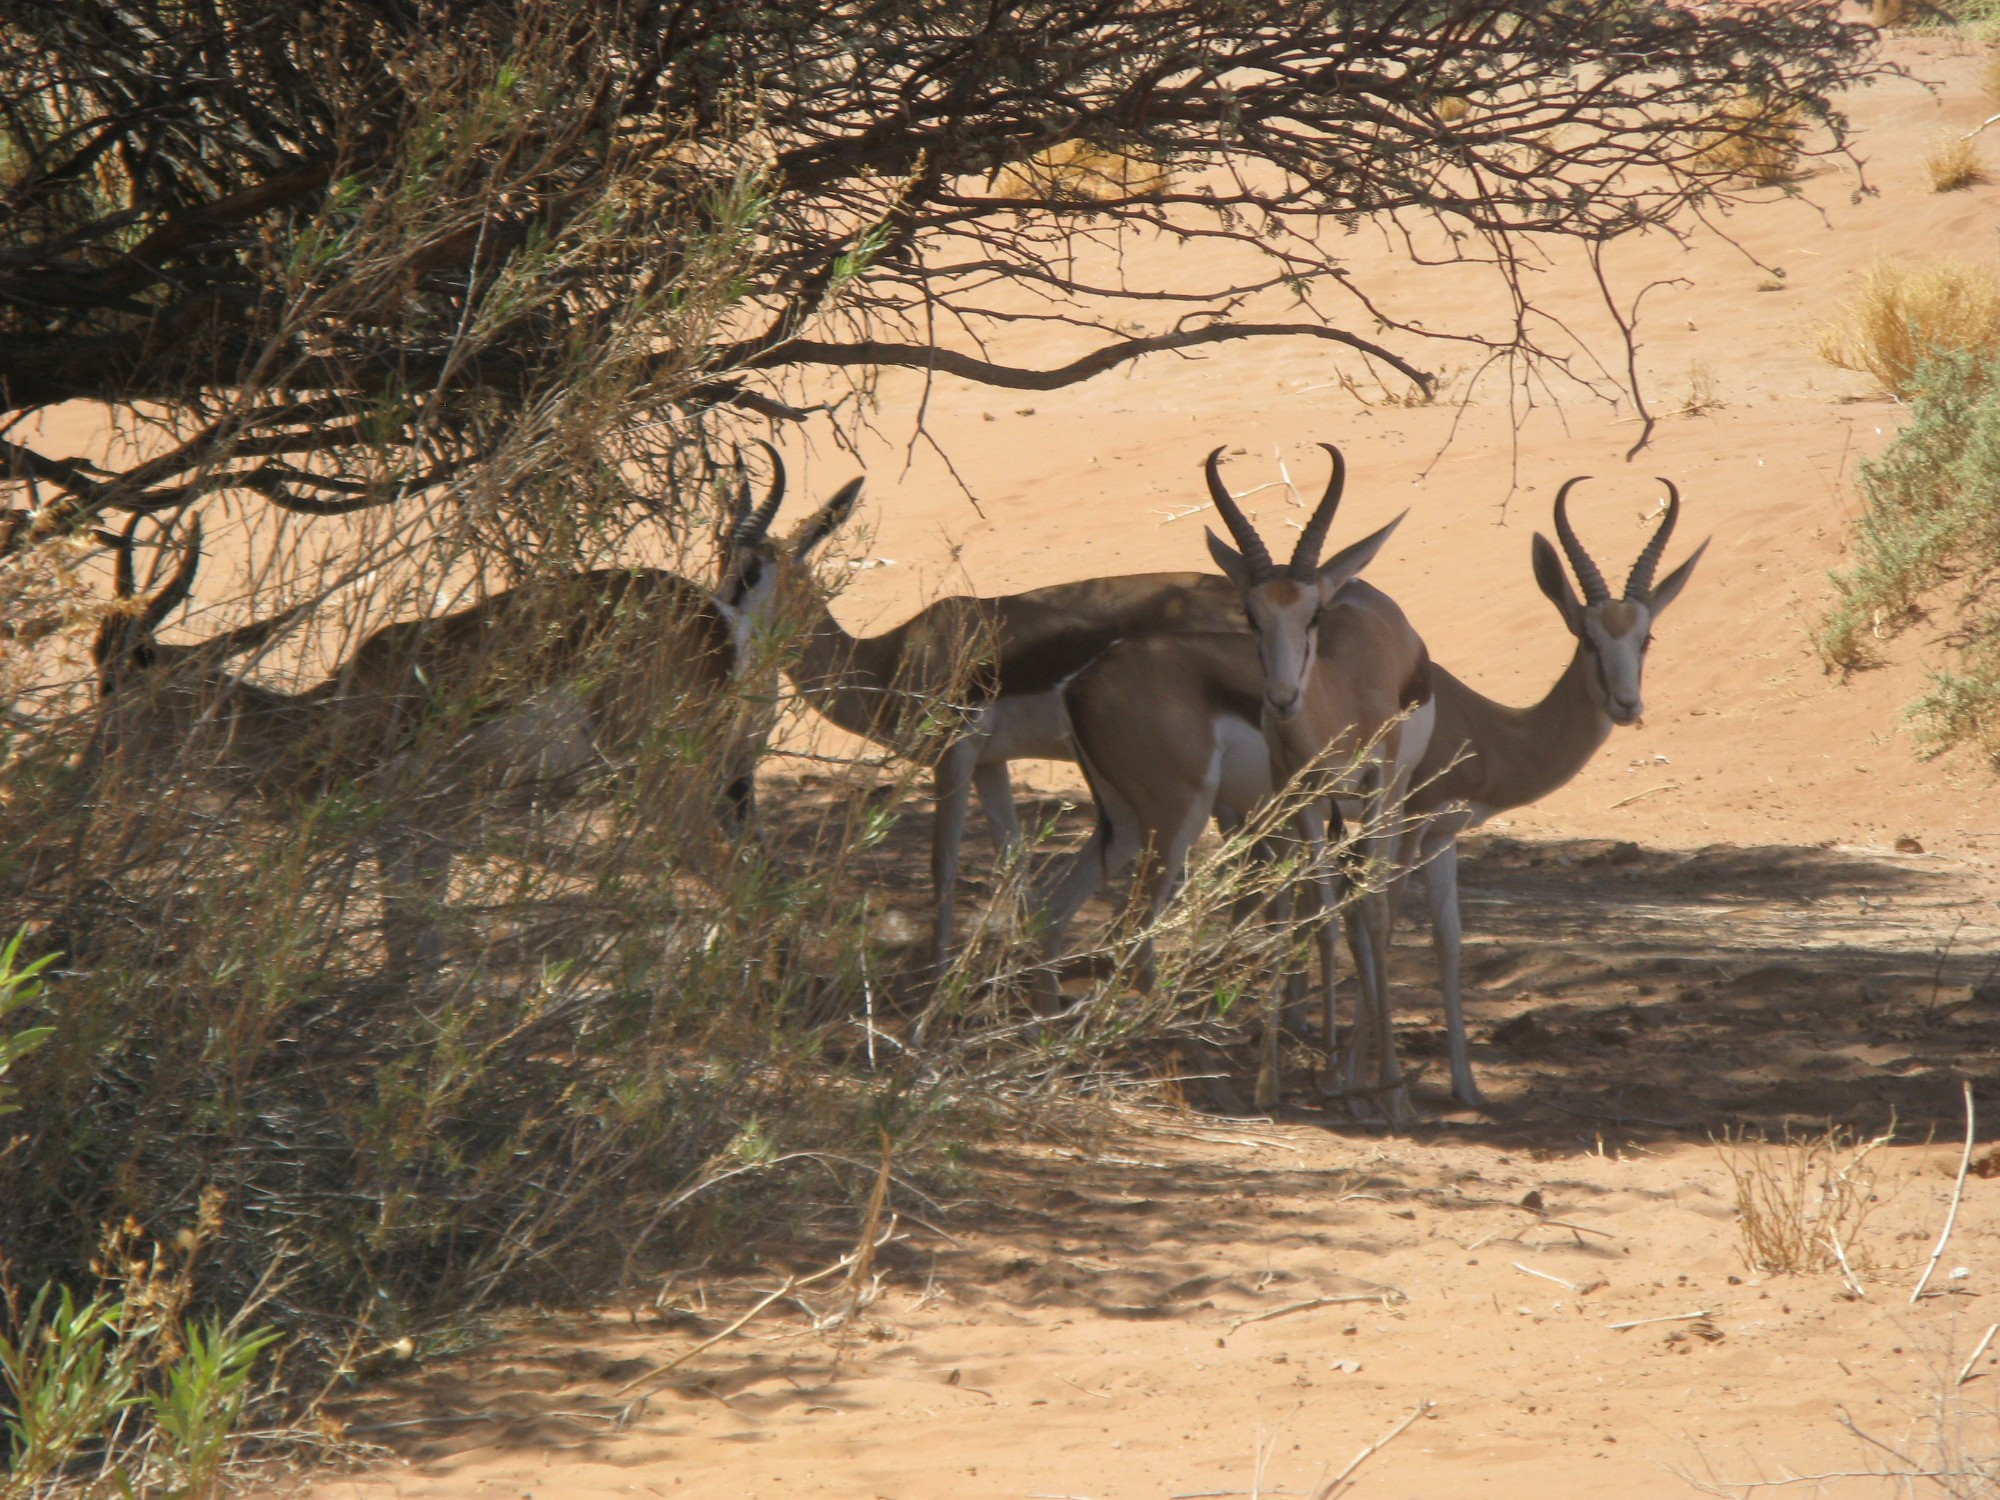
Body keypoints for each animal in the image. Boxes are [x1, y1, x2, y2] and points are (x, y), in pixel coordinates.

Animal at [88, 470, 860, 980]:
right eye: (97, 674)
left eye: (127, 681)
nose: (88, 772)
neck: (338, 709)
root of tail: (720, 622)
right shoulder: (426, 835)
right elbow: (413, 952)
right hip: (733, 785)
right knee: (769, 880)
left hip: (669, 792)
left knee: (741, 885)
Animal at [1040, 446, 1432, 1120]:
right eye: (1250, 614)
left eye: (1313, 613)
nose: (1278, 699)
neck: (1346, 686)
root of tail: (1081, 681)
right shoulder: (1315, 805)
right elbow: (1338, 917)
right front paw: (1359, 1087)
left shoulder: (1361, 797)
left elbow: (1353, 917)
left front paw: (1359, 1086)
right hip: (1176, 821)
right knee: (1131, 936)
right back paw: (1217, 1083)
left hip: (1124, 827)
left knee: (1053, 917)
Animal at [1392, 484, 1704, 1120]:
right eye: (1587, 638)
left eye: (1646, 638)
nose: (1627, 704)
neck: (1481, 728)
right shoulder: (1404, 826)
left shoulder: (1441, 837)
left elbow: (1447, 941)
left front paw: (1467, 1089)